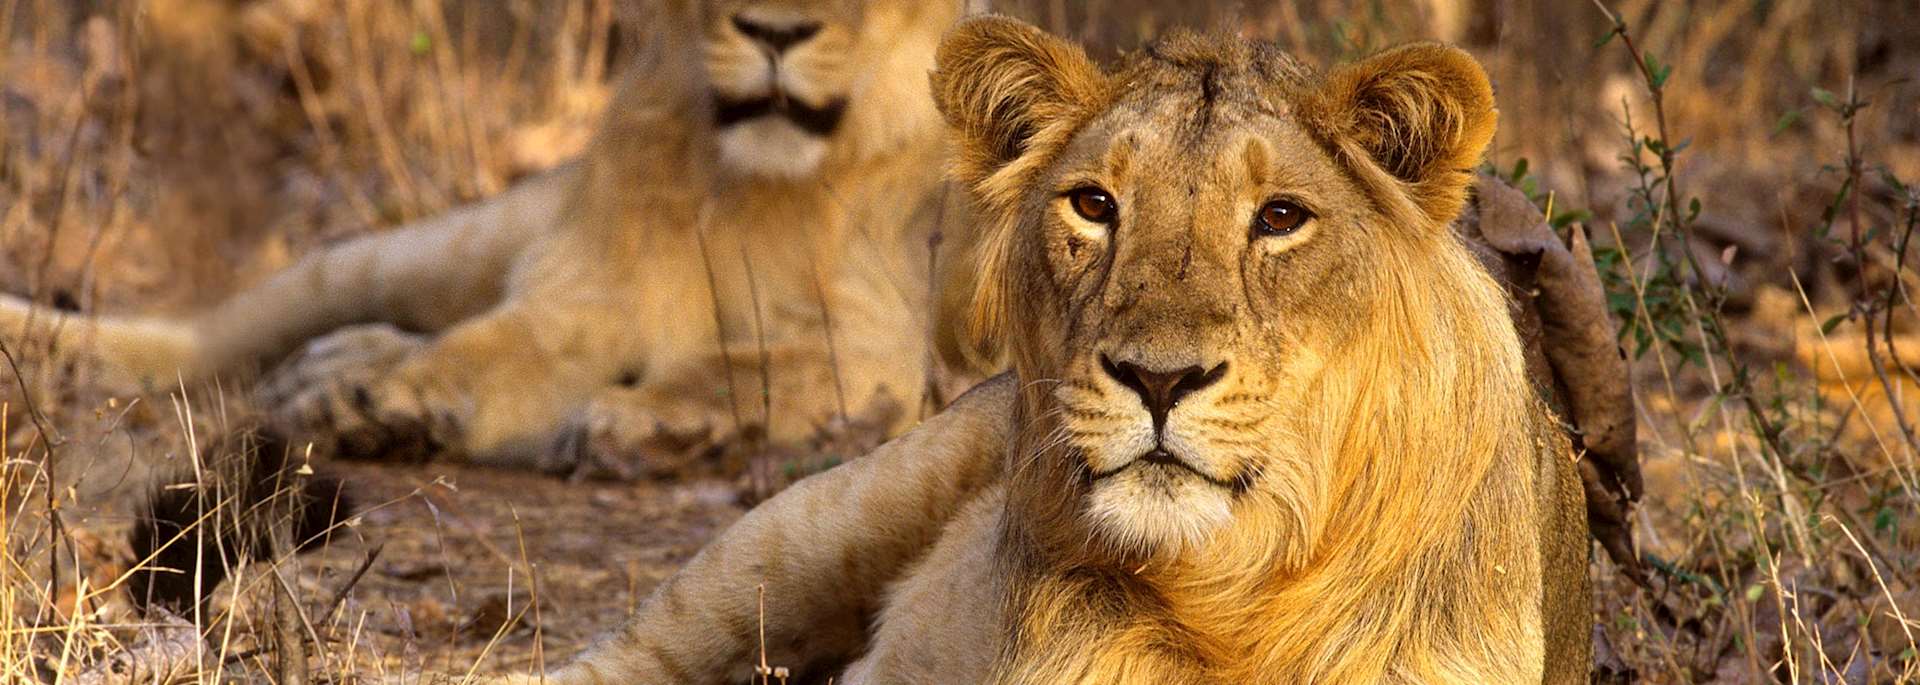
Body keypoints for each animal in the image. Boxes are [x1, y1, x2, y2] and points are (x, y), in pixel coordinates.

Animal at [0, 0, 972, 476]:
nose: (775, 34)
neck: (748, 174)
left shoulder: (881, 347)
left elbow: (745, 367)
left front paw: (639, 419)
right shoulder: (587, 293)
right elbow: (495, 347)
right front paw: (389, 399)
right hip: (430, 248)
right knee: (216, 333)